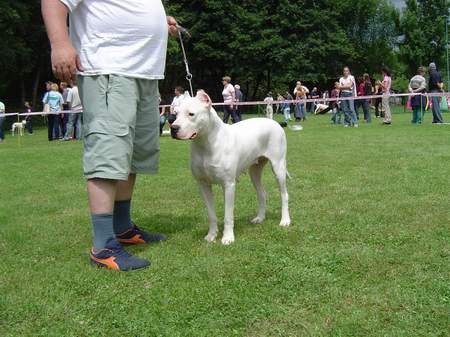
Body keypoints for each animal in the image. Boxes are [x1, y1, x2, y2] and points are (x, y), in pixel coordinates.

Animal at [170, 90, 292, 244]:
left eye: (191, 114)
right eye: (176, 114)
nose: (173, 128)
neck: (205, 143)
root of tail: (274, 122)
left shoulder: (228, 185)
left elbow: (228, 215)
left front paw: (228, 237)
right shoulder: (203, 185)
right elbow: (211, 214)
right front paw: (211, 235)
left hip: (278, 167)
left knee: (284, 195)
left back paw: (285, 220)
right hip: (255, 171)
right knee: (262, 193)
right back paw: (260, 218)